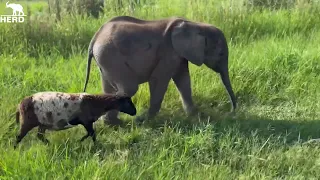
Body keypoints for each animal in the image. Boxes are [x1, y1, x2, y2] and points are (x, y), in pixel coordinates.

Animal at [82, 15, 238, 125]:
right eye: (221, 54)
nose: (231, 112)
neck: (195, 24)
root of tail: (95, 37)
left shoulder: (179, 55)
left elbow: (183, 80)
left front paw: (196, 115)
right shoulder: (168, 52)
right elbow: (159, 81)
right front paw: (143, 120)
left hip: (105, 59)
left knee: (109, 87)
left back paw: (110, 123)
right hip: (110, 55)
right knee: (129, 88)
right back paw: (116, 123)